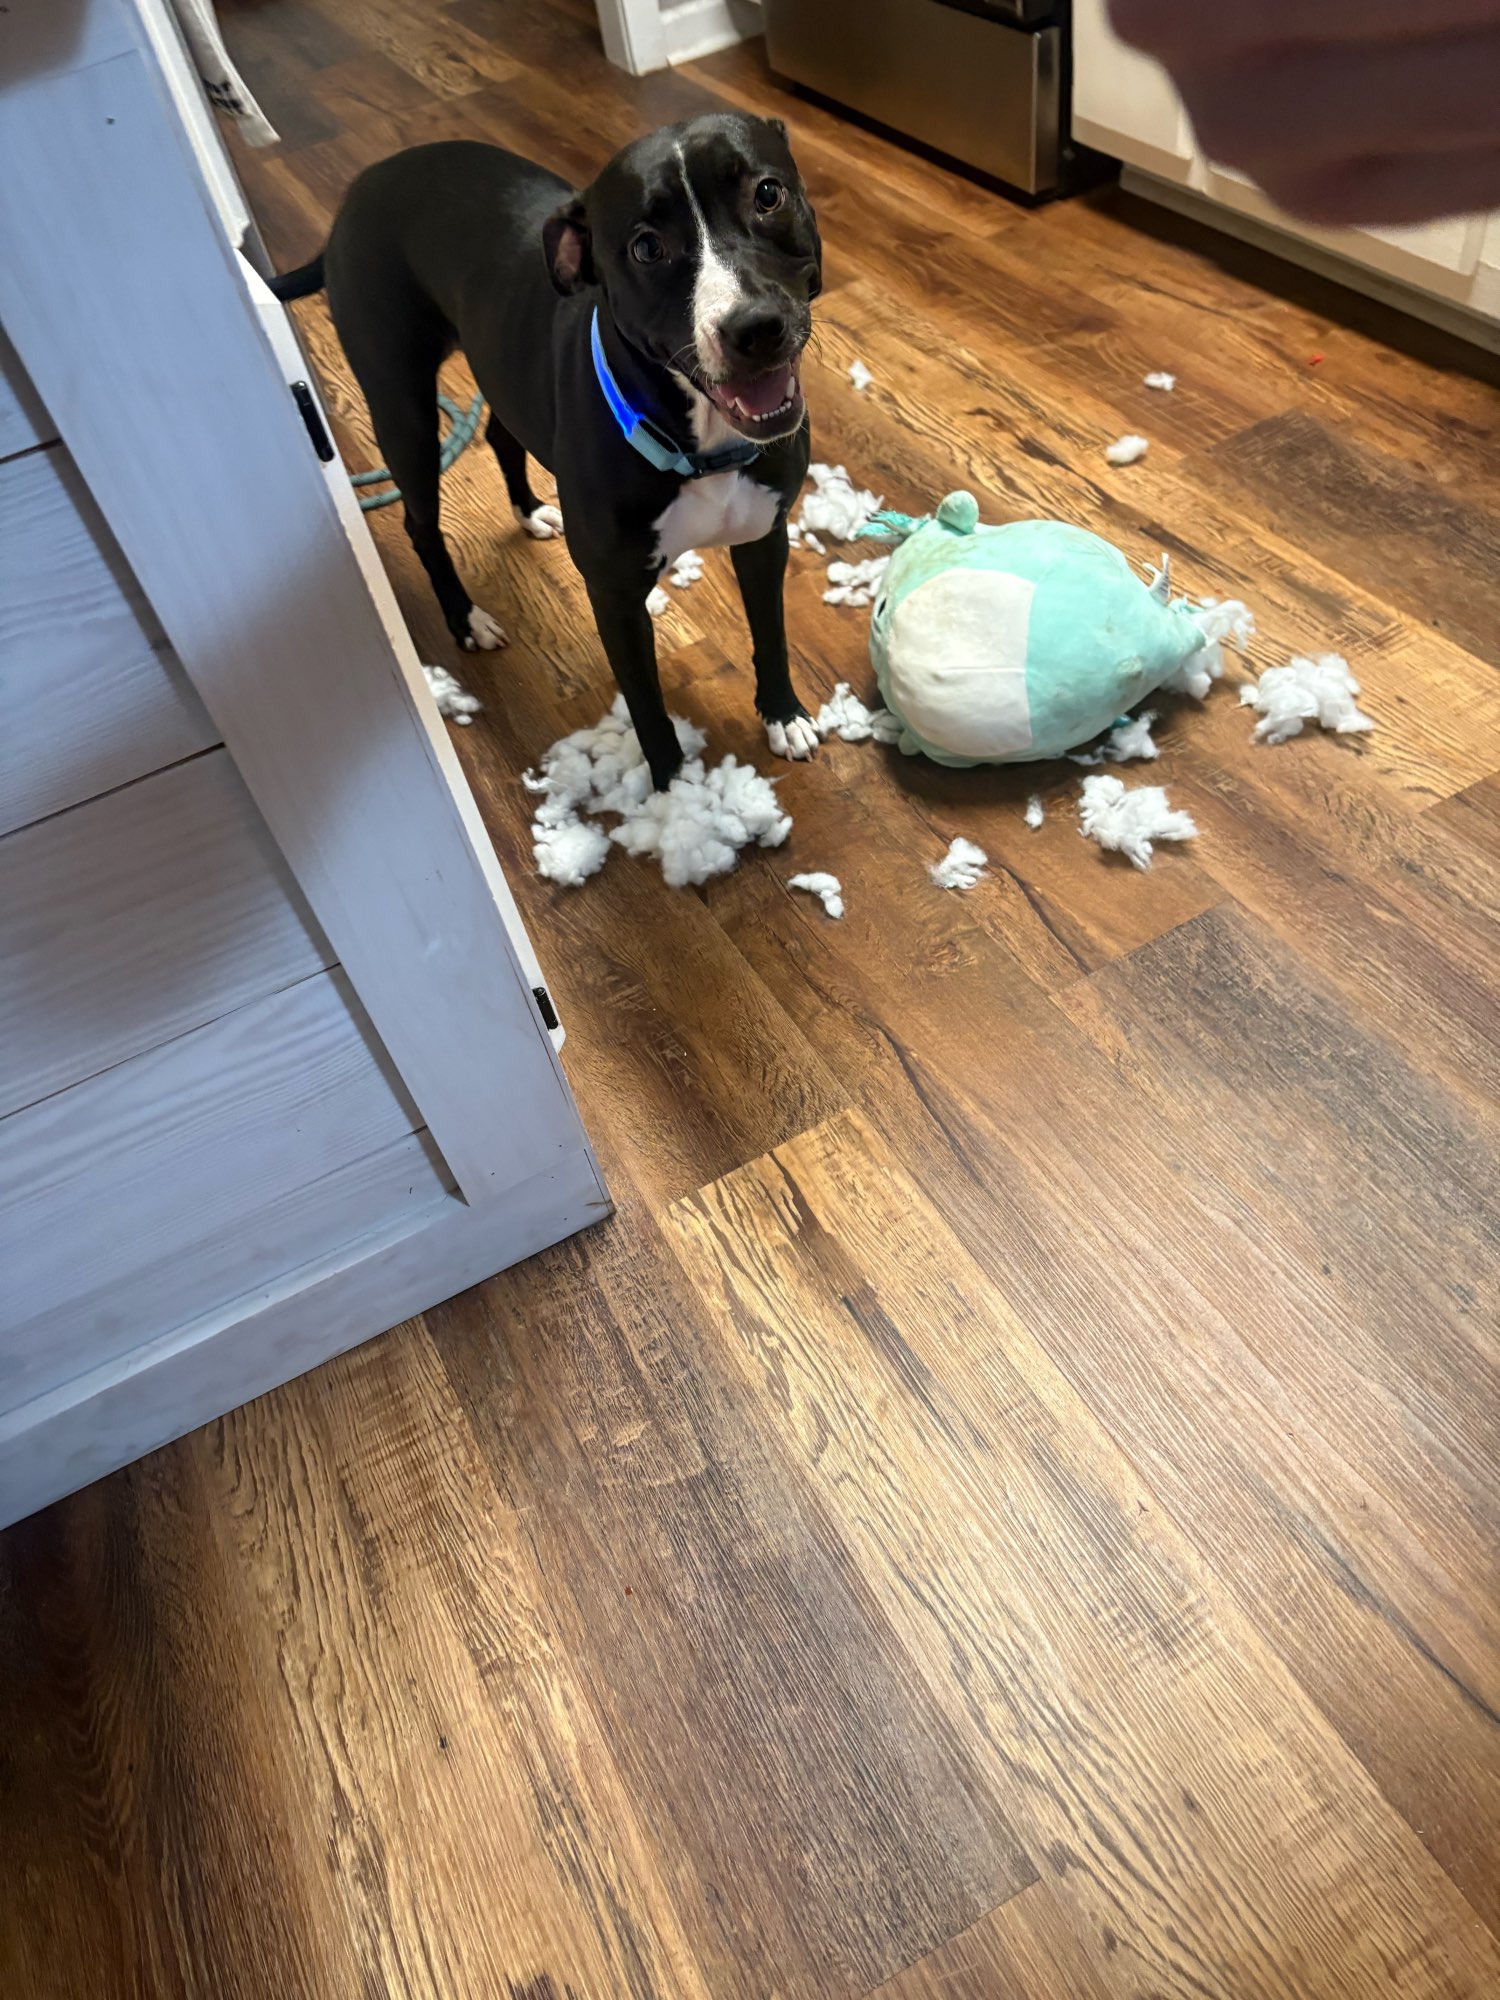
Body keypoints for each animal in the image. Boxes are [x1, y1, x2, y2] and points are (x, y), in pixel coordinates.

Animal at [271, 114, 824, 792]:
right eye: (647, 248)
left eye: (767, 194)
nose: (755, 327)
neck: (699, 445)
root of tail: (365, 182)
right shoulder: (615, 598)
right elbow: (647, 705)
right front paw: (676, 793)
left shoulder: (764, 539)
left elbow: (771, 635)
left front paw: (783, 714)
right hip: (403, 410)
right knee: (421, 524)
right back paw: (465, 619)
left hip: (502, 368)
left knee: (501, 436)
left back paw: (530, 509)